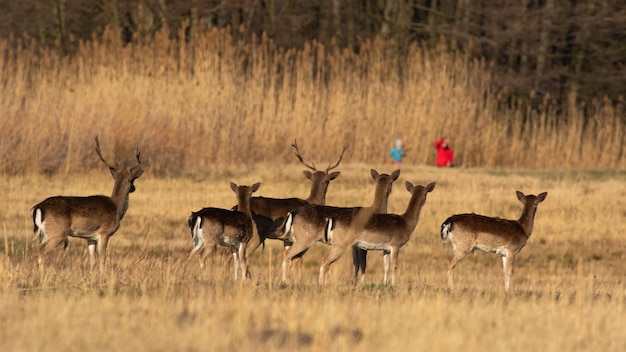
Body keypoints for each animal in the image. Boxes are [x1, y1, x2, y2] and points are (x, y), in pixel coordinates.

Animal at [30, 136, 144, 270]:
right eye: (133, 180)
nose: (134, 188)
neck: (117, 207)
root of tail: (38, 207)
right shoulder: (104, 233)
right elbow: (102, 259)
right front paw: (103, 273)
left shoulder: (90, 238)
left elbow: (92, 260)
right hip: (57, 232)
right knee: (40, 250)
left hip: (44, 234)